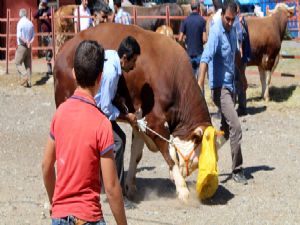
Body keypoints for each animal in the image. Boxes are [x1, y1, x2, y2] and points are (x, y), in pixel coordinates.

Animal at [54, 22, 213, 202]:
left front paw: (129, 187)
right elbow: (171, 155)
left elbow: (136, 154)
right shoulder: (156, 123)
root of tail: (63, 51)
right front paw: (183, 191)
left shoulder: (140, 123)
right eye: (198, 155)